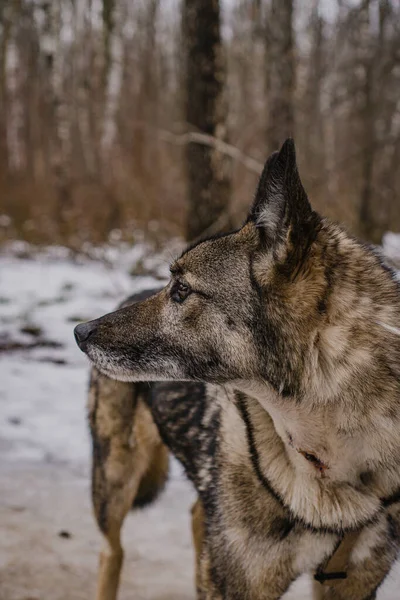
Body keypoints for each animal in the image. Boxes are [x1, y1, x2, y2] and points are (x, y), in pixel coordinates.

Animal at [74, 141, 400, 600]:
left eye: (181, 290)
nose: (79, 332)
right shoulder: (238, 582)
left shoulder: (352, 585)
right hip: (115, 479)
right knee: (112, 552)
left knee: (195, 518)